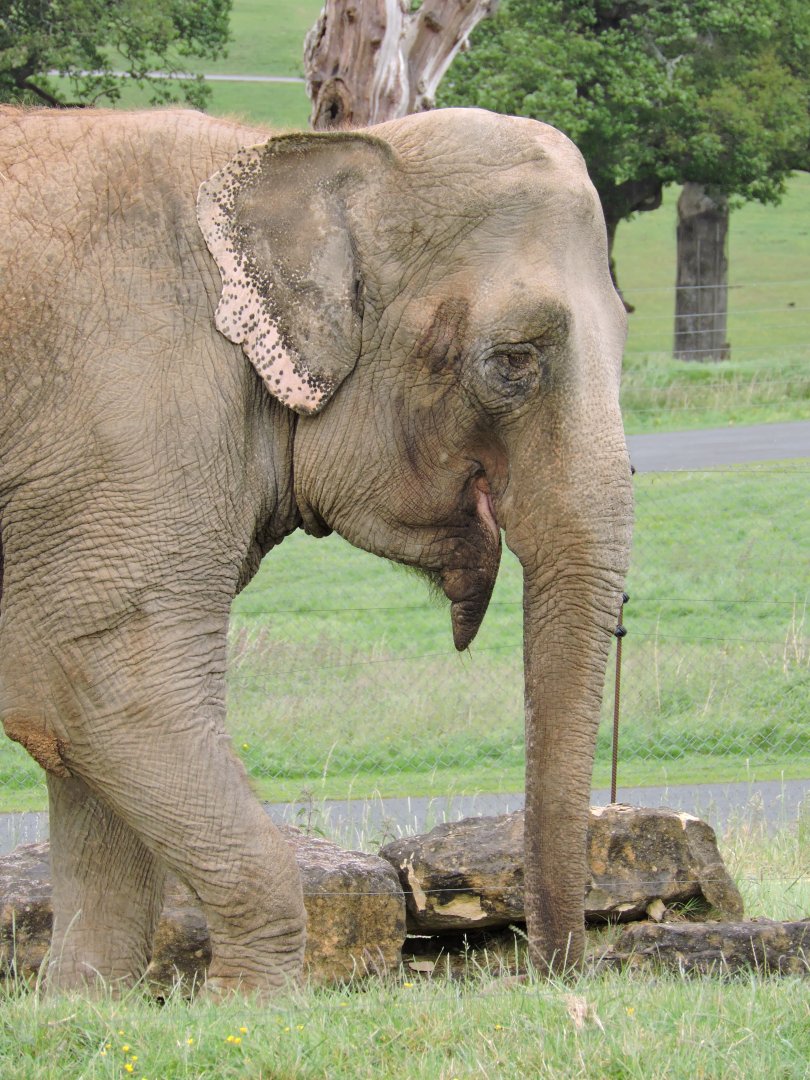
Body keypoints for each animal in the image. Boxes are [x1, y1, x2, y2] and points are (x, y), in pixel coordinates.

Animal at [0, 103, 632, 992]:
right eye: (515, 360)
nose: (551, 974)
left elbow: (81, 744)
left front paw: (89, 1006)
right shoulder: (127, 417)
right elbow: (106, 690)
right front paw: (249, 1007)